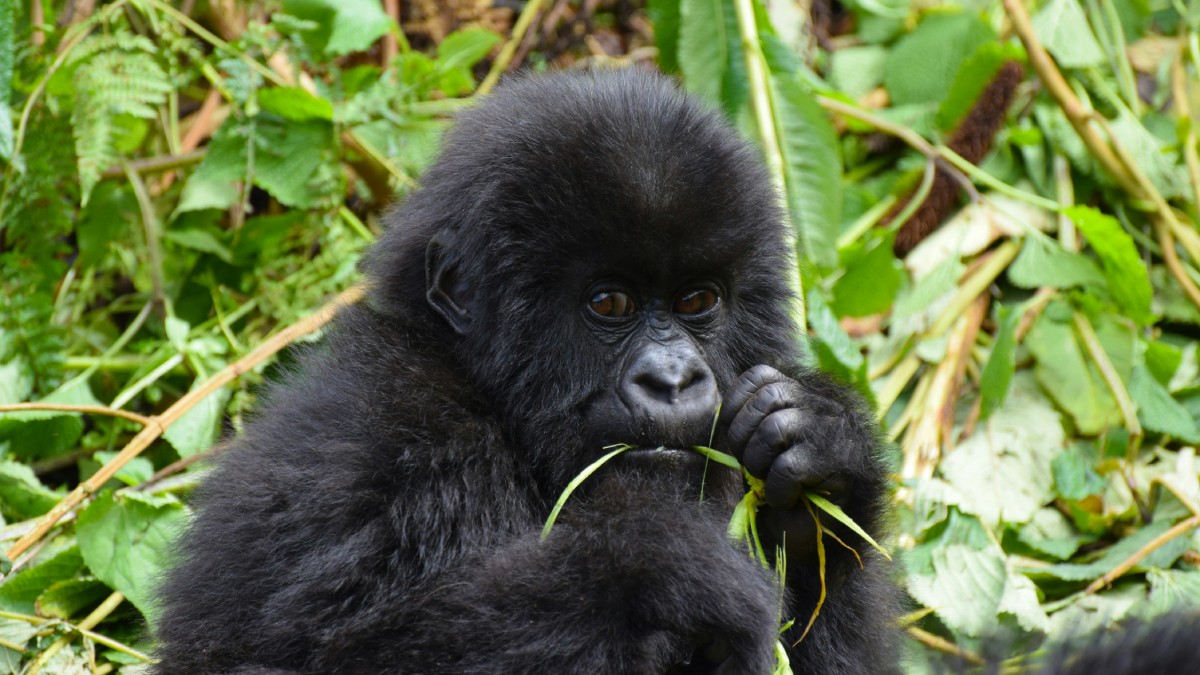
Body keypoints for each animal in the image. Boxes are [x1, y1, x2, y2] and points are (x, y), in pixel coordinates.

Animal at [154, 69, 897, 672]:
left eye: (697, 301)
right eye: (609, 303)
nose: (674, 380)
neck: (493, 404)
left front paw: (823, 454)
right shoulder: (388, 443)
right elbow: (314, 654)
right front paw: (662, 574)